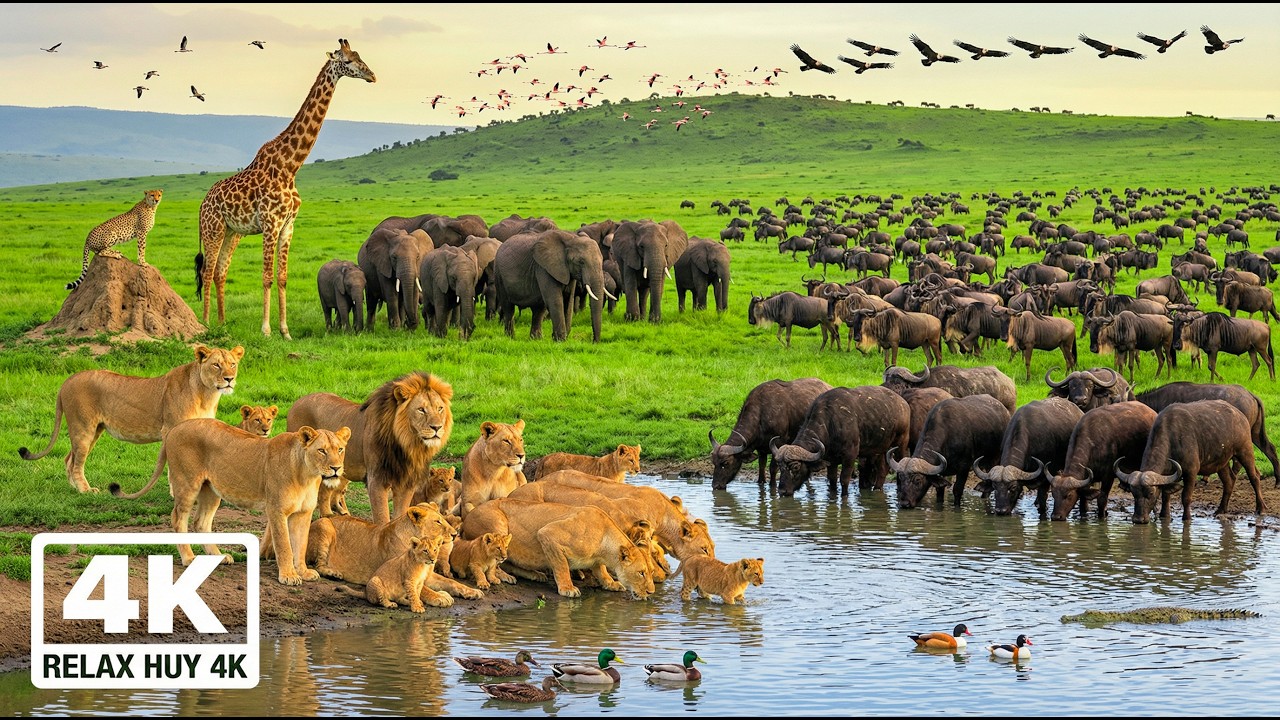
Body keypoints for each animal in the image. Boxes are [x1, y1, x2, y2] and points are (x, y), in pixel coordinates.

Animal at [20, 344, 244, 493]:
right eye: (216, 365)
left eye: (233, 364)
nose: (229, 379)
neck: (207, 394)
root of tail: (68, 379)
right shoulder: (170, 430)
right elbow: (173, 467)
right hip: (83, 427)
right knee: (77, 461)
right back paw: (86, 490)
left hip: (94, 431)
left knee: (69, 459)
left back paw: (75, 489)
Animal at [109, 418, 349, 586]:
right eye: (321, 450)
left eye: (340, 449)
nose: (336, 468)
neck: (307, 475)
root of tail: (176, 429)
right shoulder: (276, 510)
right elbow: (284, 545)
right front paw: (288, 576)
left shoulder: (303, 513)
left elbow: (300, 544)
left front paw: (303, 572)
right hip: (187, 484)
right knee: (178, 518)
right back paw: (189, 558)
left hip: (212, 490)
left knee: (201, 522)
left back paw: (218, 556)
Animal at [287, 371, 453, 524]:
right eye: (421, 409)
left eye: (440, 408)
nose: (437, 427)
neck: (408, 446)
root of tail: (296, 402)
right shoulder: (376, 480)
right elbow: (382, 517)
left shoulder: (406, 483)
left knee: (324, 492)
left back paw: (329, 516)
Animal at [305, 502, 482, 605]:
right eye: (438, 521)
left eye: (443, 519)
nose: (454, 534)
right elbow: (423, 590)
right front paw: (439, 597)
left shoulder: (427, 574)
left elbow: (452, 582)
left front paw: (472, 592)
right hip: (324, 525)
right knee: (318, 565)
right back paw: (333, 573)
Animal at [459, 497, 653, 599]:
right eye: (641, 573)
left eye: (650, 571)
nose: (651, 592)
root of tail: (467, 516)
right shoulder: (548, 534)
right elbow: (562, 566)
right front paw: (568, 588)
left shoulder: (597, 560)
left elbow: (601, 570)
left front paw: (611, 583)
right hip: (497, 525)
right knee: (496, 562)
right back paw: (504, 576)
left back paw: (535, 574)